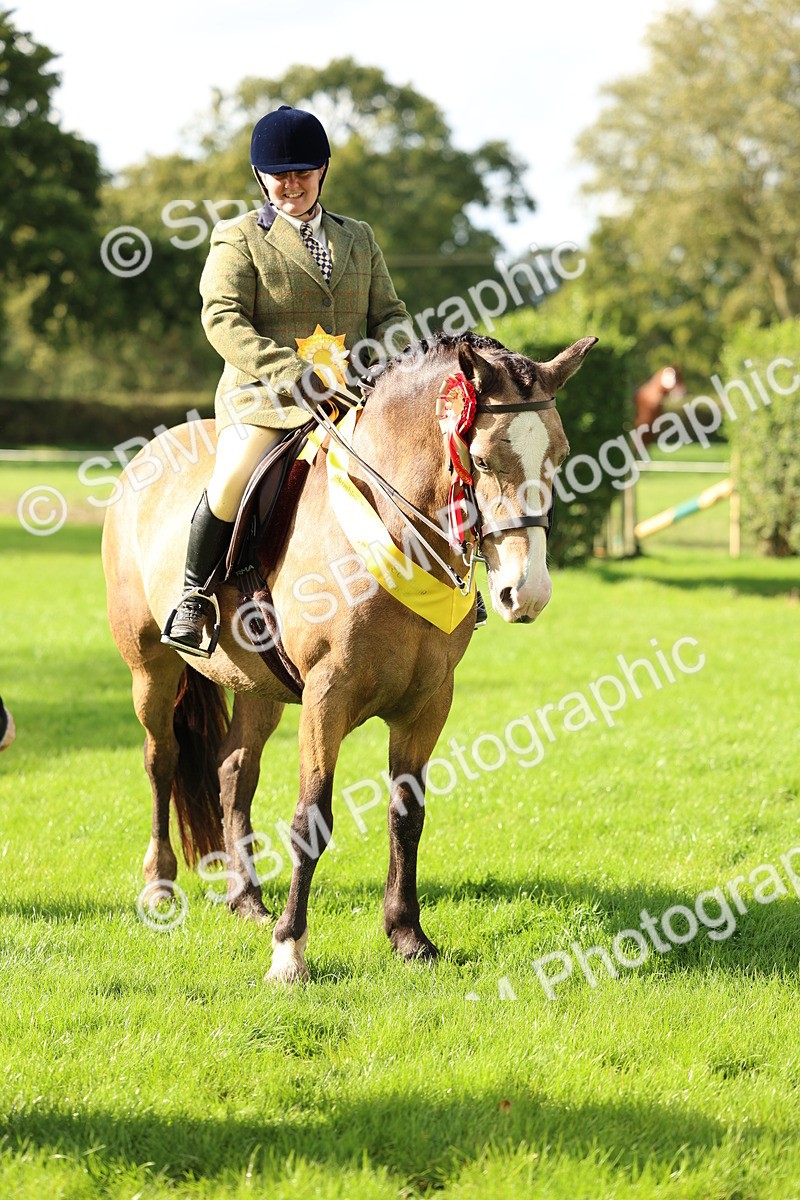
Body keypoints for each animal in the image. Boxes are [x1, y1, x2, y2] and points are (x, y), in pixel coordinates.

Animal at [101, 331, 596, 983]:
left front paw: (408, 936)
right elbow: (312, 818)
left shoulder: (429, 702)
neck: (394, 530)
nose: (528, 593)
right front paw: (289, 953)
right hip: (150, 670)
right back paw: (160, 885)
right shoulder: (326, 695)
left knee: (234, 771)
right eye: (485, 460)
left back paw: (247, 899)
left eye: (558, 458)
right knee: (162, 759)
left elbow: (407, 814)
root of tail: (149, 453)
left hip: (260, 685)